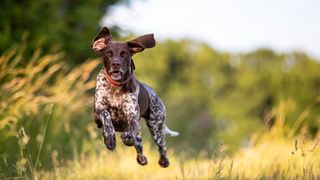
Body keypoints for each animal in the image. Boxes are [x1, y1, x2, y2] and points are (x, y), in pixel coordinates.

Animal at [91, 26, 179, 167]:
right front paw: (109, 137)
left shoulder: (133, 118)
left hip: (156, 127)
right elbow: (106, 115)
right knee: (139, 143)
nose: (116, 64)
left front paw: (125, 137)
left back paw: (163, 161)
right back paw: (141, 157)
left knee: (161, 146)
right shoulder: (97, 115)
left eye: (124, 54)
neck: (115, 87)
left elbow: (130, 130)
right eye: (109, 53)